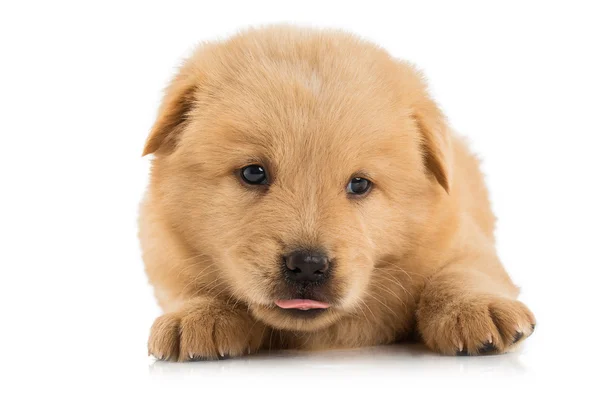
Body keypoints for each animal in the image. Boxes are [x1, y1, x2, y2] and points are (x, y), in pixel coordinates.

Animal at [139, 25, 536, 362]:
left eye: (359, 184)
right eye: (253, 173)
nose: (307, 265)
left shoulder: (460, 235)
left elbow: (461, 272)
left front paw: (475, 308)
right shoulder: (166, 248)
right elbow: (190, 284)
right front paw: (197, 315)